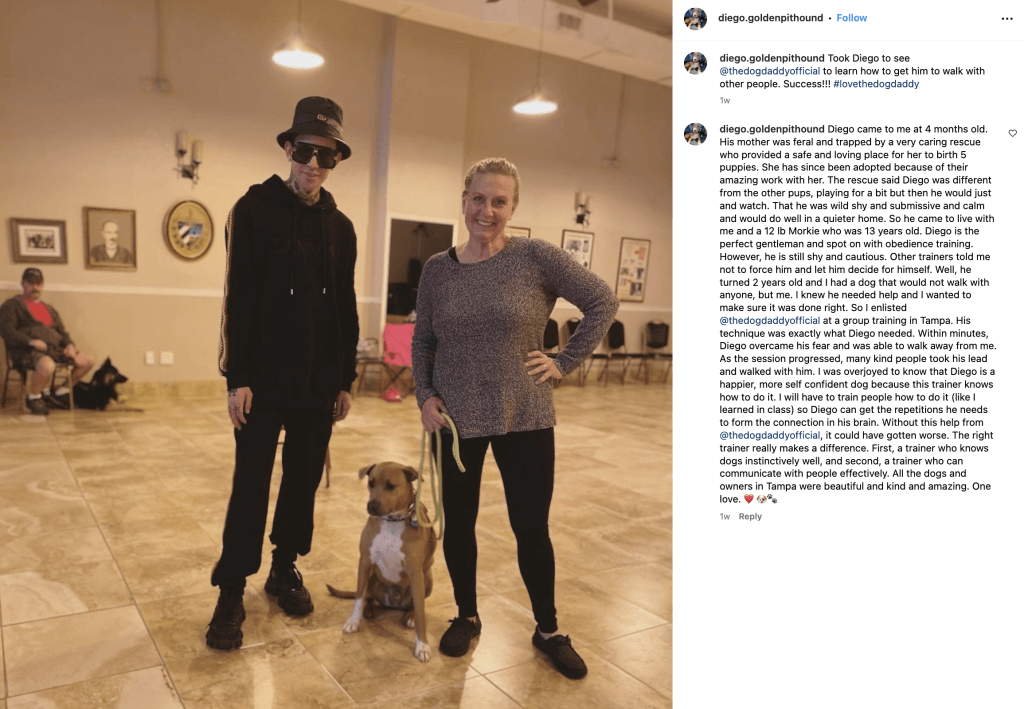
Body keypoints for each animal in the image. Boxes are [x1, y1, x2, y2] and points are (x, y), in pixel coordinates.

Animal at [329, 463, 438, 663]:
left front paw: (422, 645)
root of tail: (393, 602)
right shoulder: (365, 562)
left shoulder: (415, 573)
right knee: (368, 596)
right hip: (373, 577)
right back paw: (369, 609)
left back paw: (409, 616)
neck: (392, 522)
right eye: (371, 483)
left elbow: (421, 612)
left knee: (414, 605)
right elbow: (359, 596)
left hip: (427, 579)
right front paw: (353, 621)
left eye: (390, 486)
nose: (371, 506)